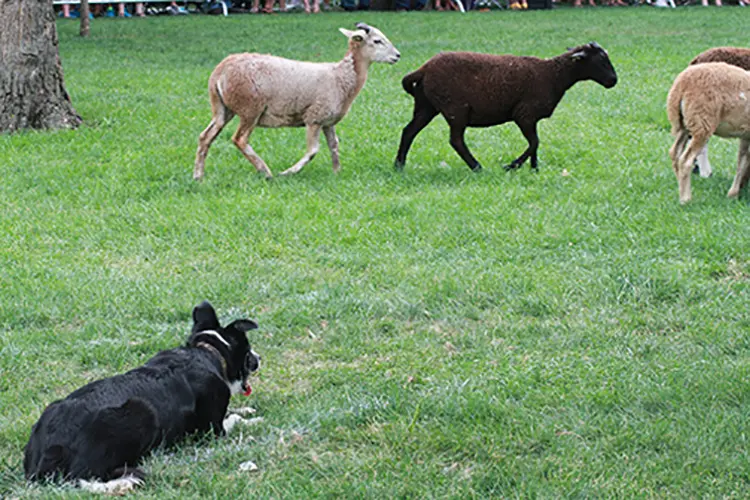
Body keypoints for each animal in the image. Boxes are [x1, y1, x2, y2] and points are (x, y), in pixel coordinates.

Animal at [193, 23, 400, 181]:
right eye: (377, 41)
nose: (397, 55)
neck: (342, 76)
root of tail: (220, 70)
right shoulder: (314, 117)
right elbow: (313, 151)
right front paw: (289, 172)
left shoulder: (328, 121)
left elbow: (334, 146)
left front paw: (337, 173)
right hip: (250, 108)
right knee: (240, 139)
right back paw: (266, 172)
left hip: (222, 108)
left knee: (206, 136)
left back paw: (198, 176)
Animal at [394, 42, 618, 172]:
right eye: (601, 60)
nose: (614, 81)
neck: (554, 76)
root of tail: (424, 68)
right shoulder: (524, 114)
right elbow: (534, 142)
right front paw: (512, 166)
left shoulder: (532, 118)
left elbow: (535, 143)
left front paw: (534, 168)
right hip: (455, 109)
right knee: (456, 140)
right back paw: (477, 167)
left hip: (426, 106)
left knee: (409, 131)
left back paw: (399, 165)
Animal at [666, 62, 750, 204]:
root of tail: (681, 85)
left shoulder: (745, 134)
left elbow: (742, 160)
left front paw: (733, 194)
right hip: (702, 121)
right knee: (685, 160)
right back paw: (686, 199)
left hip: (686, 124)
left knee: (675, 153)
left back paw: (681, 189)